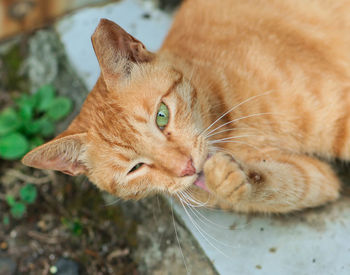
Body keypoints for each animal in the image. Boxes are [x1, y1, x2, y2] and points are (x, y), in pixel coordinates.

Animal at [21, 0, 350, 215]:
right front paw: (228, 179)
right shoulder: (314, 179)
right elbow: (279, 184)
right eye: (135, 168)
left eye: (161, 116)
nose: (187, 167)